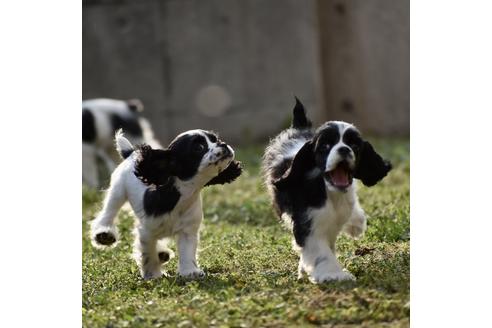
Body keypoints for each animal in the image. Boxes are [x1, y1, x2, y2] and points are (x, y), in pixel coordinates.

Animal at [90, 128, 242, 280]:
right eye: (199, 147)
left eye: (216, 139)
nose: (223, 144)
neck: (182, 196)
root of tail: (131, 152)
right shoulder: (146, 232)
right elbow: (147, 254)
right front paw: (152, 275)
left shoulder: (187, 230)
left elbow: (187, 252)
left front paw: (190, 271)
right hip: (118, 191)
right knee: (109, 212)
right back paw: (104, 234)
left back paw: (162, 253)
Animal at [264, 98, 390, 284]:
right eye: (325, 146)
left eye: (354, 144)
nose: (344, 149)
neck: (330, 192)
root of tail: (299, 129)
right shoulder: (309, 225)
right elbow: (321, 252)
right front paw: (333, 274)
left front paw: (357, 223)